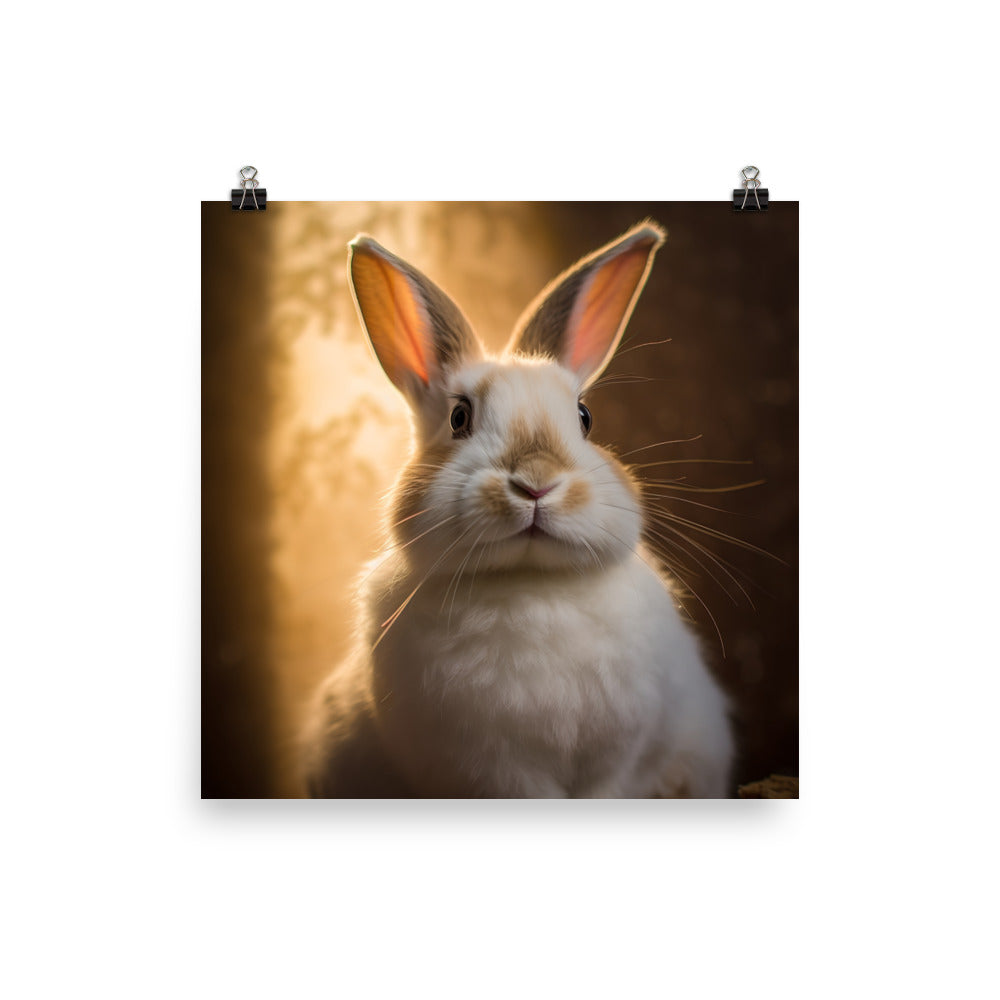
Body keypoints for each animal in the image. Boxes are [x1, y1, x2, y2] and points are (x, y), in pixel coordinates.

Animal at [300, 222, 734, 798]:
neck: (533, 584)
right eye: (459, 417)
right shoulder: (491, 769)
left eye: (585, 417)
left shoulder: (619, 758)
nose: (536, 484)